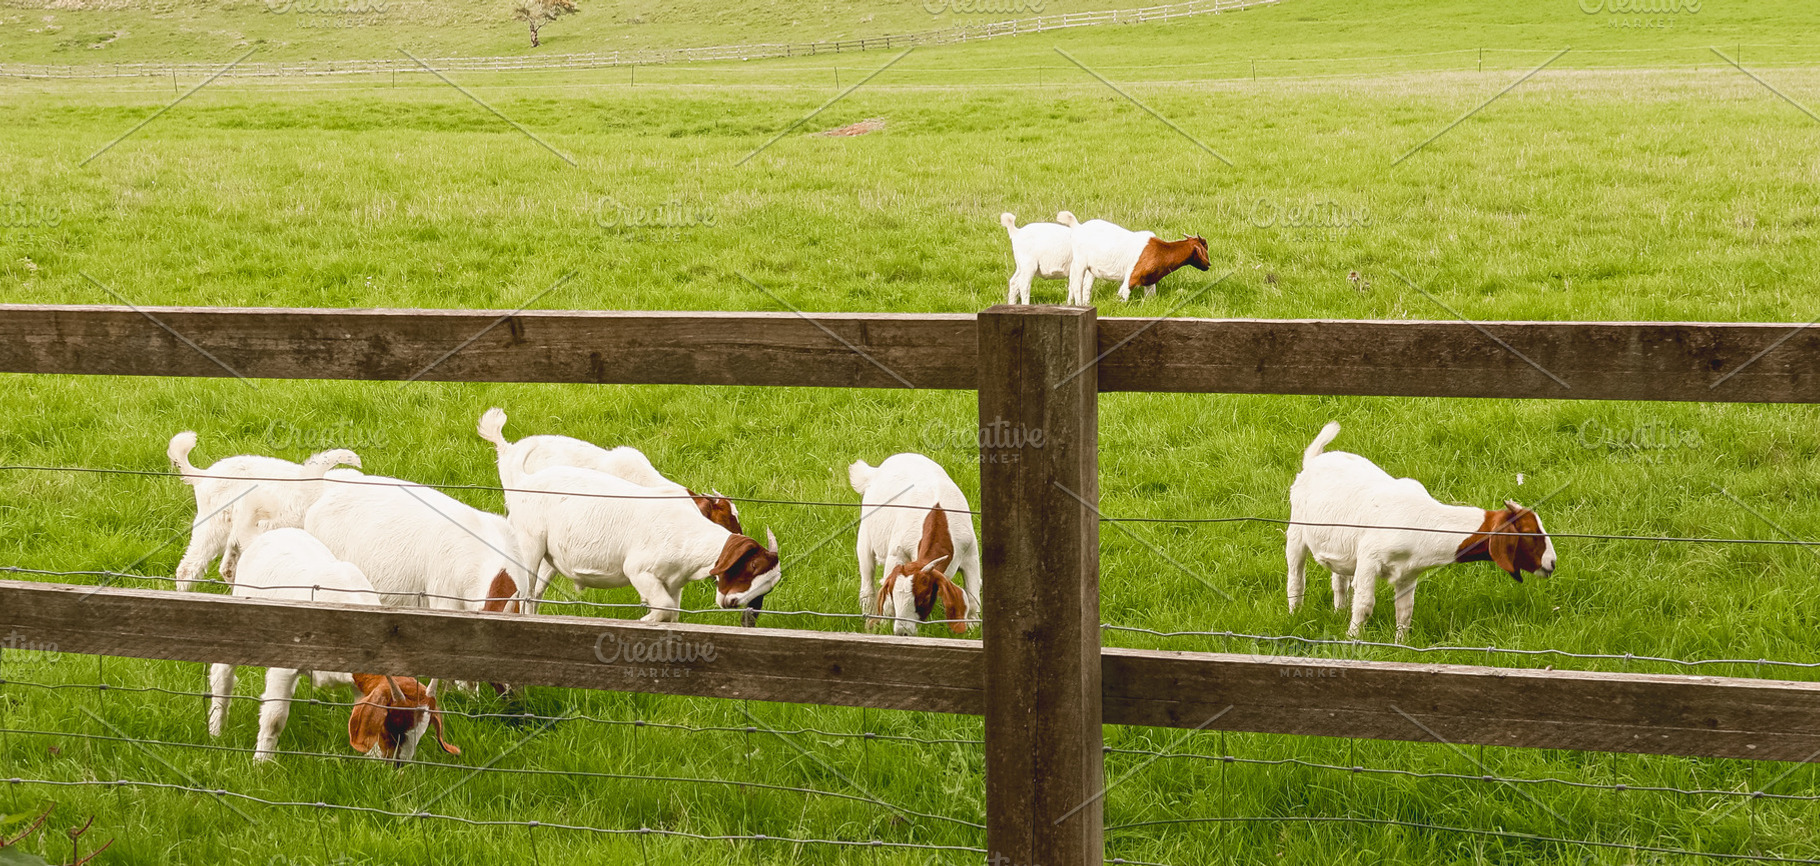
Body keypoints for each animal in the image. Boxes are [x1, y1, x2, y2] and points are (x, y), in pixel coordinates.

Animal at [206, 528, 459, 763]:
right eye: (393, 725)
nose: (398, 765)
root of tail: (275, 532)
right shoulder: (284, 667)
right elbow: (274, 717)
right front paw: (262, 763)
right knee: (222, 672)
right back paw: (216, 729)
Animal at [505, 466, 781, 624]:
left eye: (769, 587)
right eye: (752, 566)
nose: (734, 602)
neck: (689, 536)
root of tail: (524, 482)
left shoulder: (673, 585)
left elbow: (672, 614)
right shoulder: (639, 571)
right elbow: (664, 608)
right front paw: (646, 619)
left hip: (548, 558)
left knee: (530, 595)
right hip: (529, 542)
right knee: (526, 594)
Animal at [850, 453, 983, 632]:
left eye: (924, 597)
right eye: (894, 595)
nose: (903, 631)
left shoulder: (971, 554)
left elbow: (973, 600)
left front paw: (972, 628)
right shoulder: (896, 553)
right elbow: (887, 604)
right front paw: (884, 627)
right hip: (865, 535)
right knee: (867, 580)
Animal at [1065, 218, 1210, 304]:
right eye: (1205, 247)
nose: (1209, 264)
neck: (1160, 251)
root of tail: (1078, 227)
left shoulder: (1150, 281)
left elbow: (1150, 298)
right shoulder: (1132, 276)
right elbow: (1123, 294)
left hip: (1091, 268)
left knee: (1085, 286)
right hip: (1079, 263)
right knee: (1076, 285)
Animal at [1287, 422, 1557, 642]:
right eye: (1530, 533)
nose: (1552, 563)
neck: (1421, 521)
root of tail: (1313, 460)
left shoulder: (1408, 573)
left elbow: (1405, 610)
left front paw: (1401, 644)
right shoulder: (1368, 559)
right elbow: (1364, 603)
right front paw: (1353, 639)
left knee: (1339, 579)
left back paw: (1339, 611)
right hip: (1296, 530)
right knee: (1296, 576)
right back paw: (1295, 614)